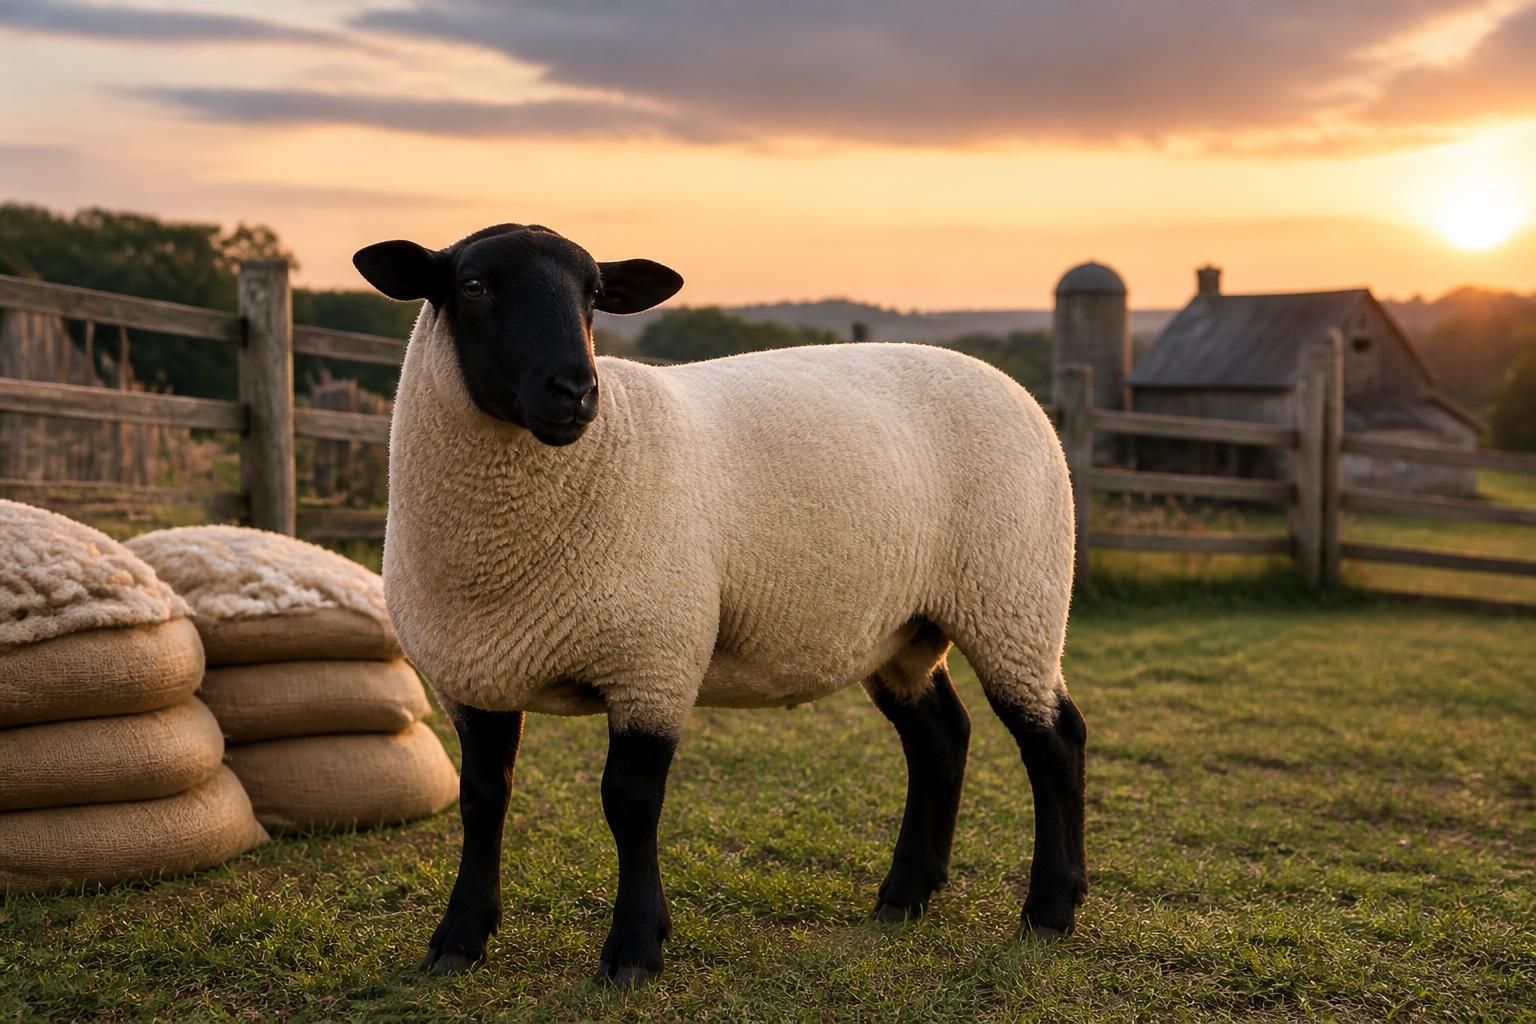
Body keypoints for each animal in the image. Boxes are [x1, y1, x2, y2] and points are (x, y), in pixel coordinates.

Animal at [354, 223, 1087, 988]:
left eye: (594, 294)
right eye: (472, 287)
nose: (576, 390)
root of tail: (1011, 386)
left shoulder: (654, 659)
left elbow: (630, 803)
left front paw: (634, 949)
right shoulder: (472, 674)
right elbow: (482, 799)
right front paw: (458, 939)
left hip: (1016, 598)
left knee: (1054, 740)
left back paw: (1050, 909)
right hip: (902, 630)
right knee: (941, 738)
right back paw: (904, 896)